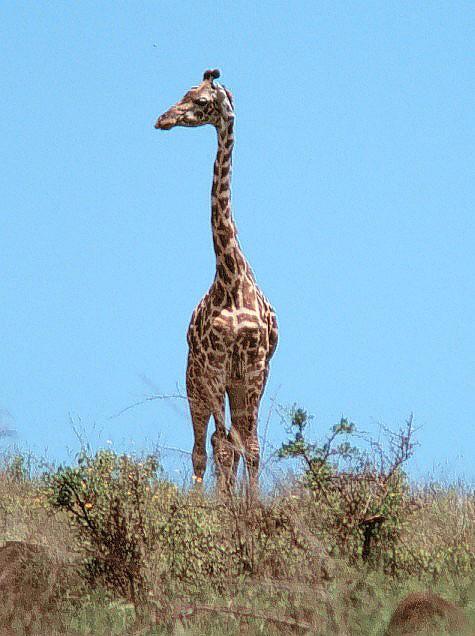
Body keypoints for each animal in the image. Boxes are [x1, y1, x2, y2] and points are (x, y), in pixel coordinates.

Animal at [154, 67, 278, 490]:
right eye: (184, 93)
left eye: (202, 101)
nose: (163, 119)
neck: (231, 277)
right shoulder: (213, 367)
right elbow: (222, 446)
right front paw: (224, 503)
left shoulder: (253, 369)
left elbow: (250, 447)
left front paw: (248, 503)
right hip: (195, 381)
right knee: (202, 447)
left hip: (235, 384)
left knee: (229, 442)